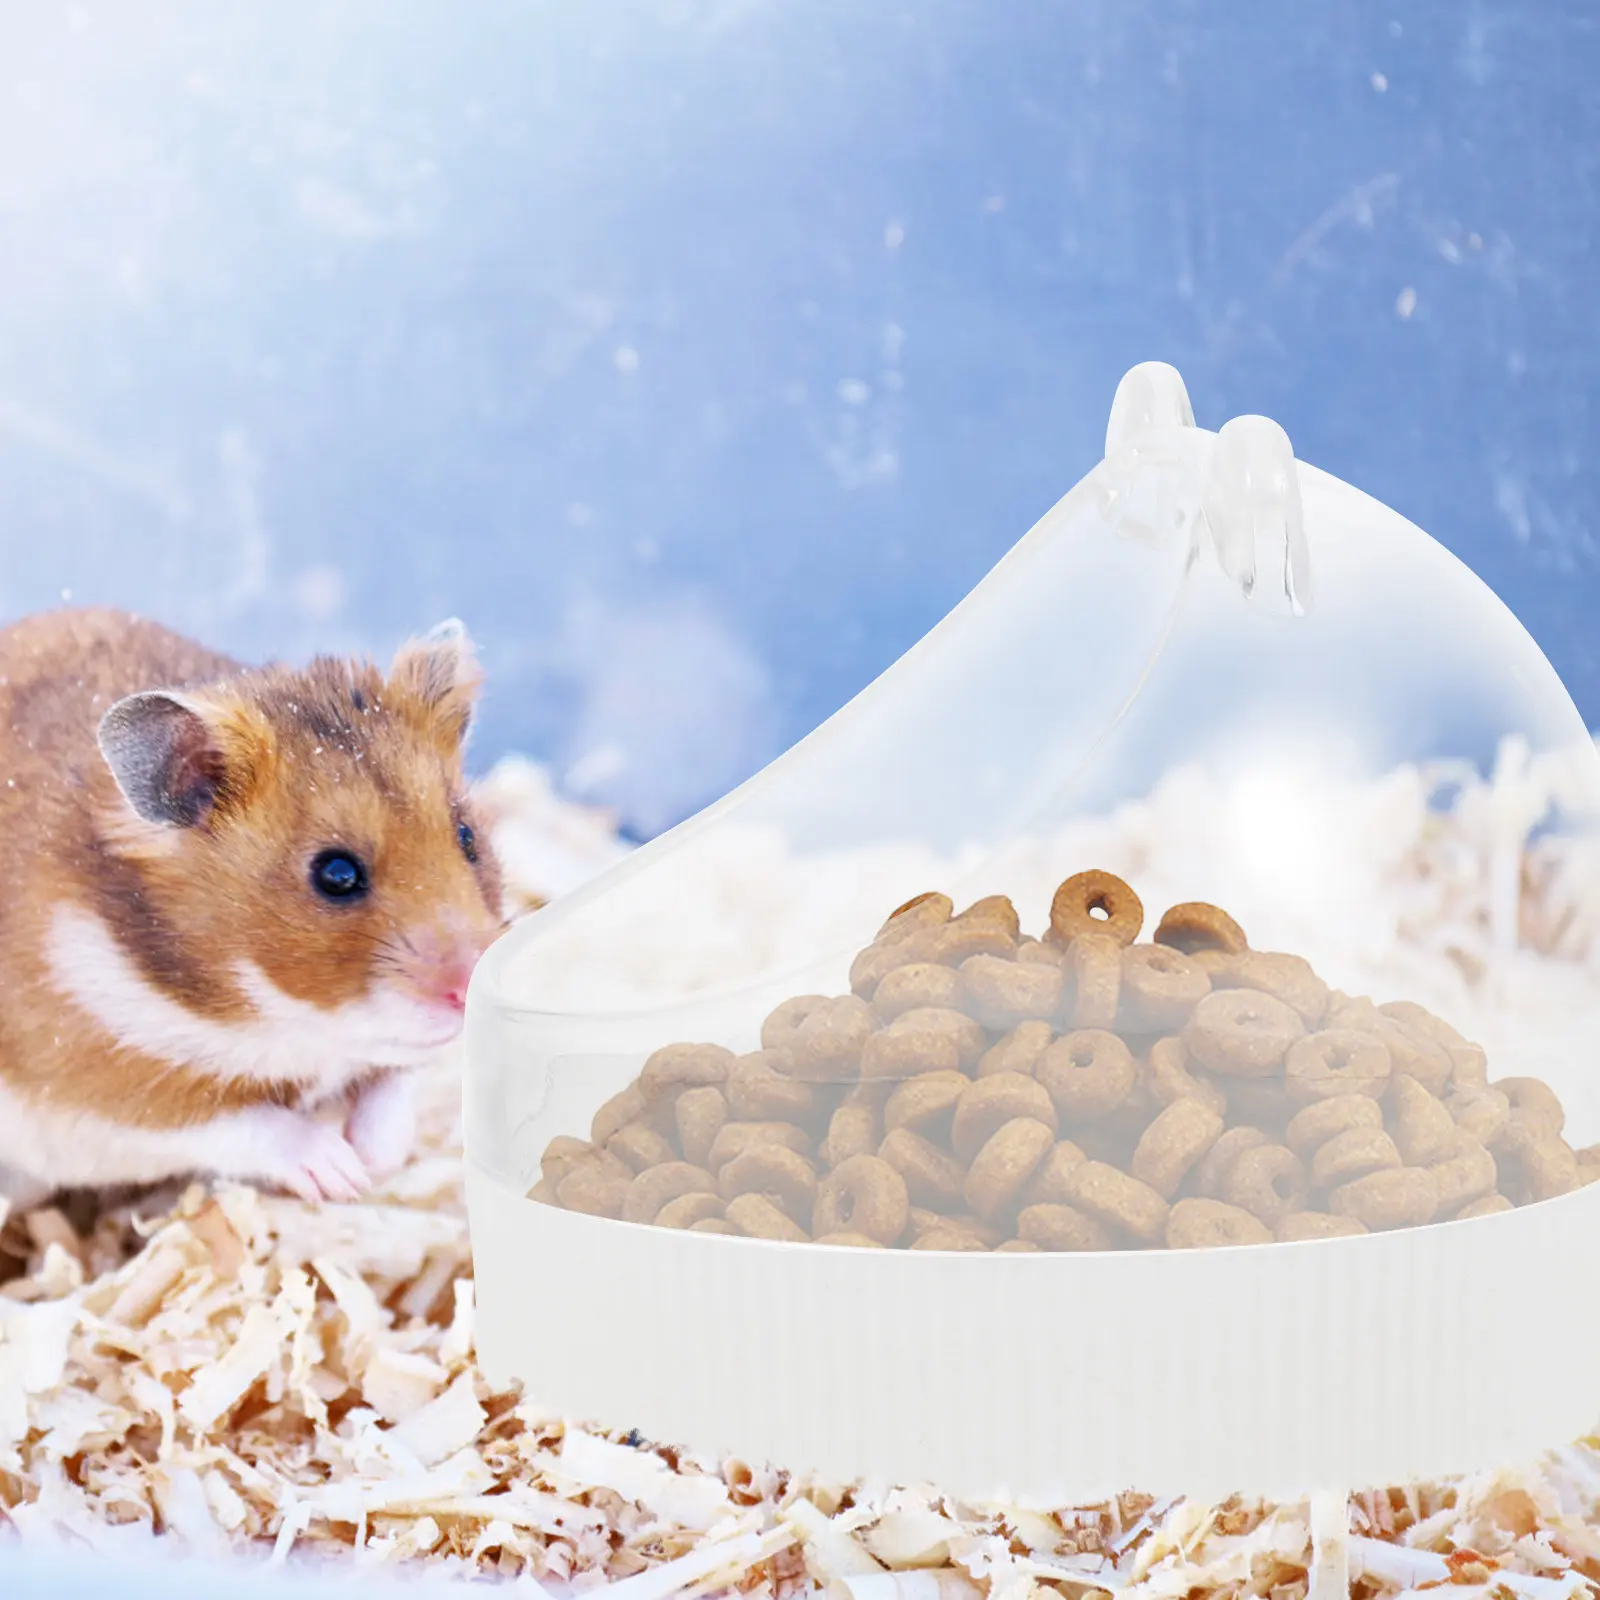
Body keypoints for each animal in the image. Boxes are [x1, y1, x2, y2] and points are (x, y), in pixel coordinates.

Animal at [0, 607, 507, 1208]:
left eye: (467, 836)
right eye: (336, 875)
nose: (468, 989)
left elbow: (394, 1083)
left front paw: (375, 1162)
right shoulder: (107, 1096)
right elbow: (244, 1123)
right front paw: (342, 1175)